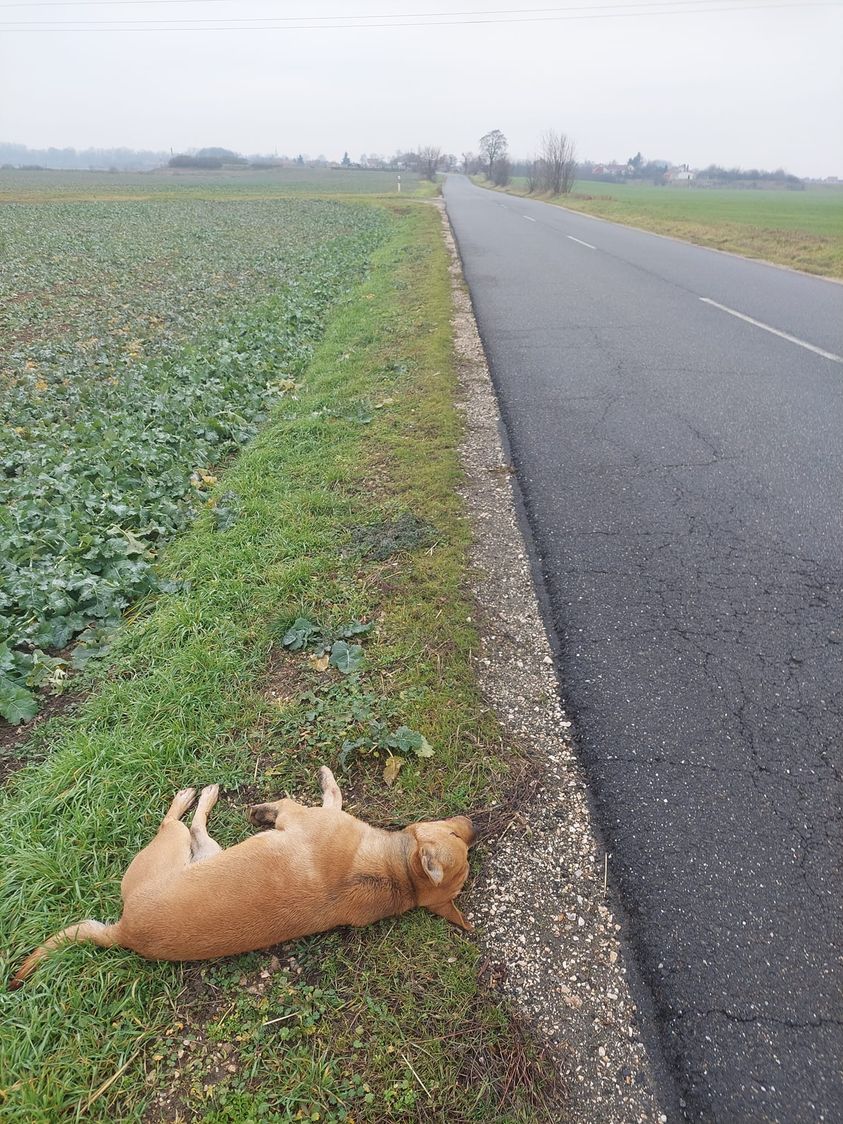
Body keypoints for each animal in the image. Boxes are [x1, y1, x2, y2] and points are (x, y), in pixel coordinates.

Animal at [9, 768, 476, 989]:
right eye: (457, 836)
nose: (473, 823)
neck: (397, 876)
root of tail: (122, 932)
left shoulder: (299, 815)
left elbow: (324, 795)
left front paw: (272, 805)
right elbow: (331, 795)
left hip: (175, 847)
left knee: (179, 823)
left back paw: (194, 796)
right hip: (203, 852)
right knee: (192, 826)